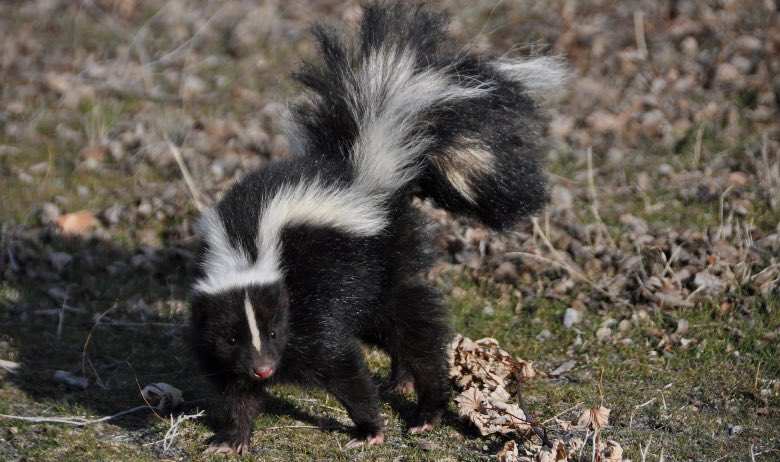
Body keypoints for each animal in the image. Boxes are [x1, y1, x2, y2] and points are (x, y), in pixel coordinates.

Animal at [189, 0, 568, 454]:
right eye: (232, 338)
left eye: (276, 330)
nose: (264, 368)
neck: (248, 249)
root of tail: (369, 173)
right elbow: (233, 387)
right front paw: (233, 438)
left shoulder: (311, 304)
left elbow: (340, 364)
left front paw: (370, 428)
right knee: (392, 329)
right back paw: (400, 379)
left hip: (382, 263)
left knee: (414, 329)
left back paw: (426, 408)